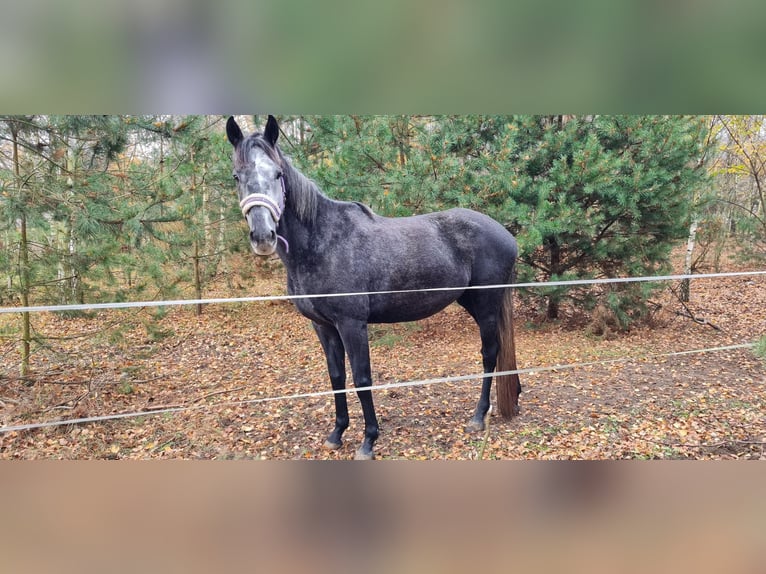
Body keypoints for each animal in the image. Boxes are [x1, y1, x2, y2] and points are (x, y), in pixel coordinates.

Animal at [226, 115, 521, 460]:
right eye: (237, 176)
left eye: (277, 174)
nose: (263, 236)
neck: (322, 241)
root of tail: (506, 234)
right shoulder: (323, 327)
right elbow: (337, 376)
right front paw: (337, 433)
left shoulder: (352, 324)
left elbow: (362, 378)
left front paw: (368, 441)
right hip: (472, 303)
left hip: (486, 305)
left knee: (489, 354)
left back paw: (477, 417)